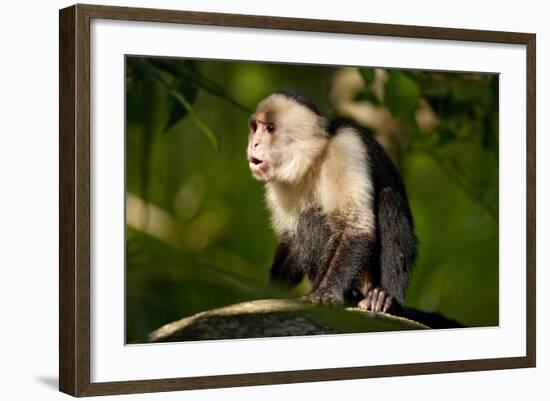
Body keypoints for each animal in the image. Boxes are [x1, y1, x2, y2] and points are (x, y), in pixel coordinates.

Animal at [247, 90, 418, 312]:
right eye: (255, 128)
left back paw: (385, 297)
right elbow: (291, 241)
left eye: (270, 129)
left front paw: (327, 292)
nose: (254, 143)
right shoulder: (280, 184)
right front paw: (268, 292)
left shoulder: (344, 148)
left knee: (389, 199)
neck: (313, 159)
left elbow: (355, 228)